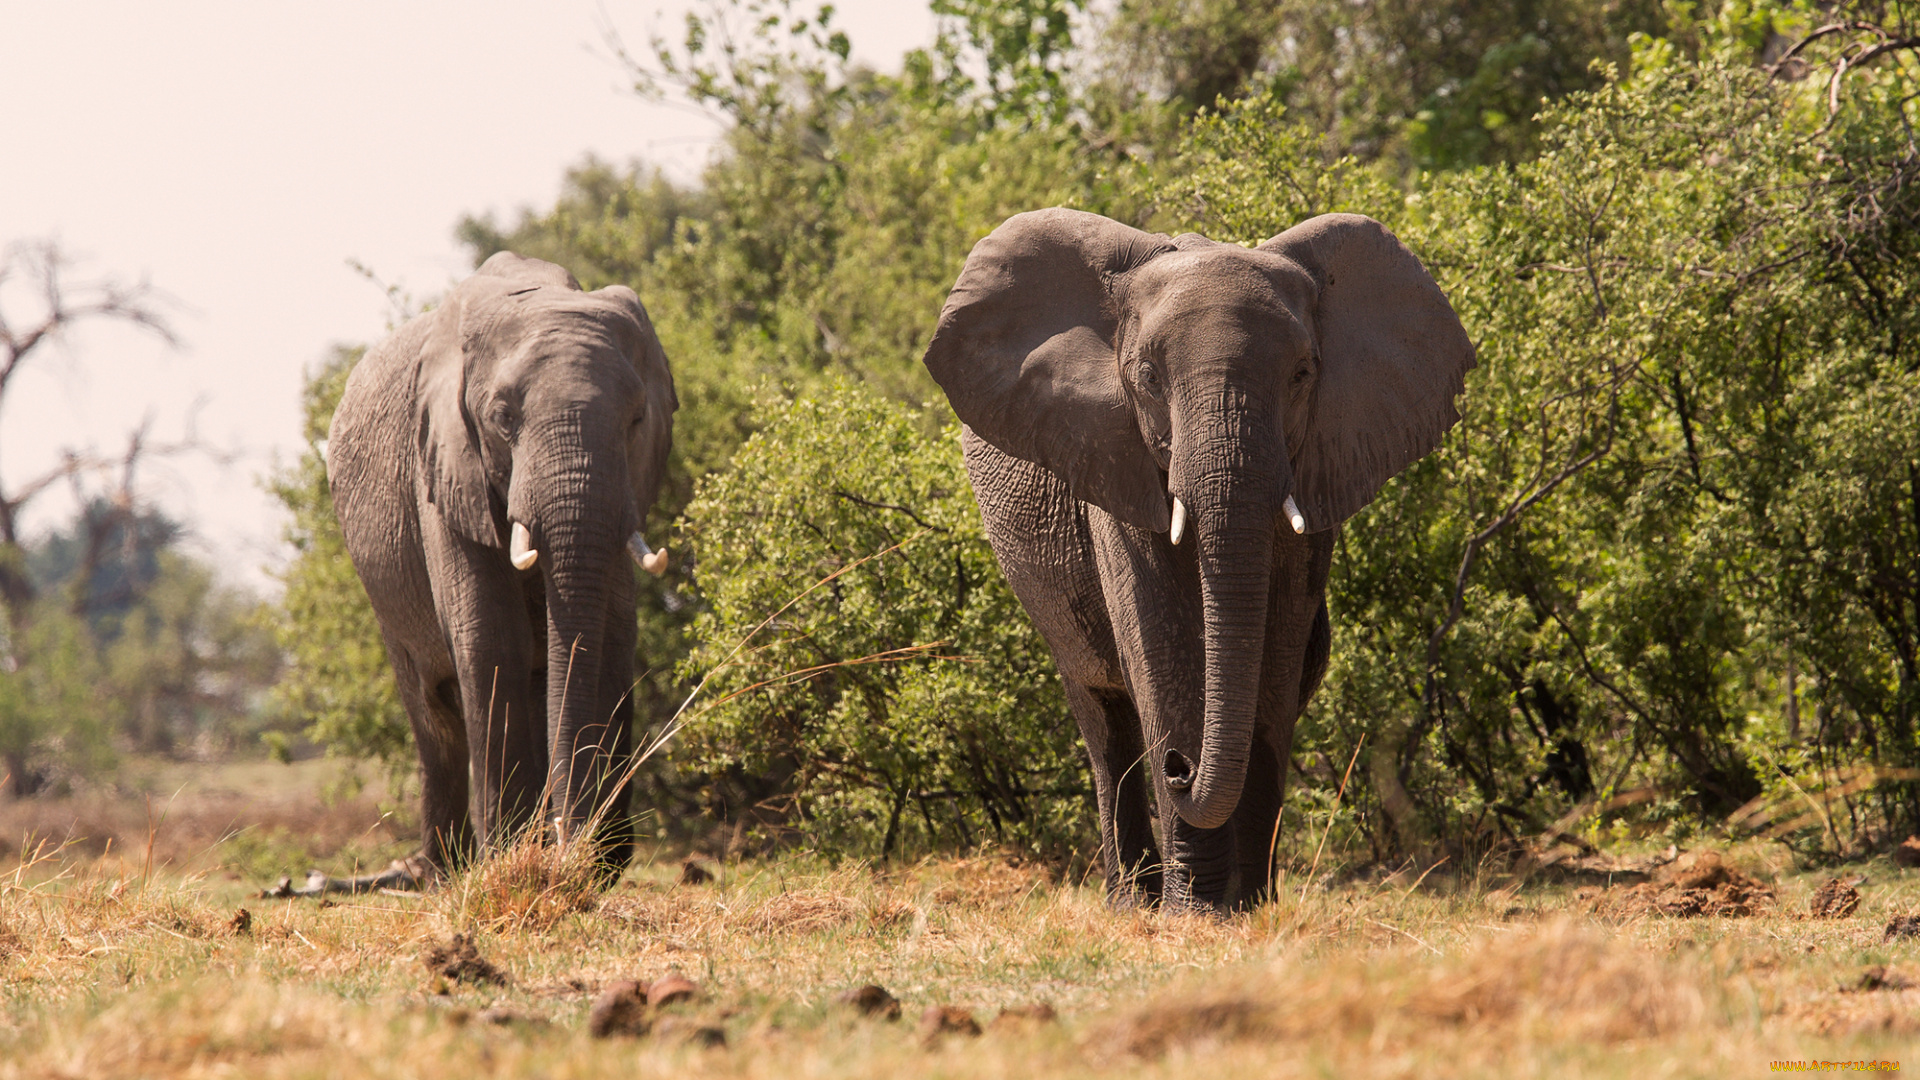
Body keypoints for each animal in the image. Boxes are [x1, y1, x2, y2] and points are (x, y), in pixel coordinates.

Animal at [326, 251, 687, 891]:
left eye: (638, 418)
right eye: (502, 417)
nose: (569, 840)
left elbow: (612, 635)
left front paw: (595, 862)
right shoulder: (442, 466)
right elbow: (490, 635)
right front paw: (514, 857)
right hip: (381, 587)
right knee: (434, 716)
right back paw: (443, 871)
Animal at [917, 203, 1466, 907]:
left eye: (1303, 373)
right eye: (1148, 378)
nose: (1182, 768)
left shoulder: (1316, 462)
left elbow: (1276, 654)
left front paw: (1248, 905)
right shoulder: (1114, 462)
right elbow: (1160, 645)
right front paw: (1193, 911)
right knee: (1103, 717)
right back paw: (1131, 898)